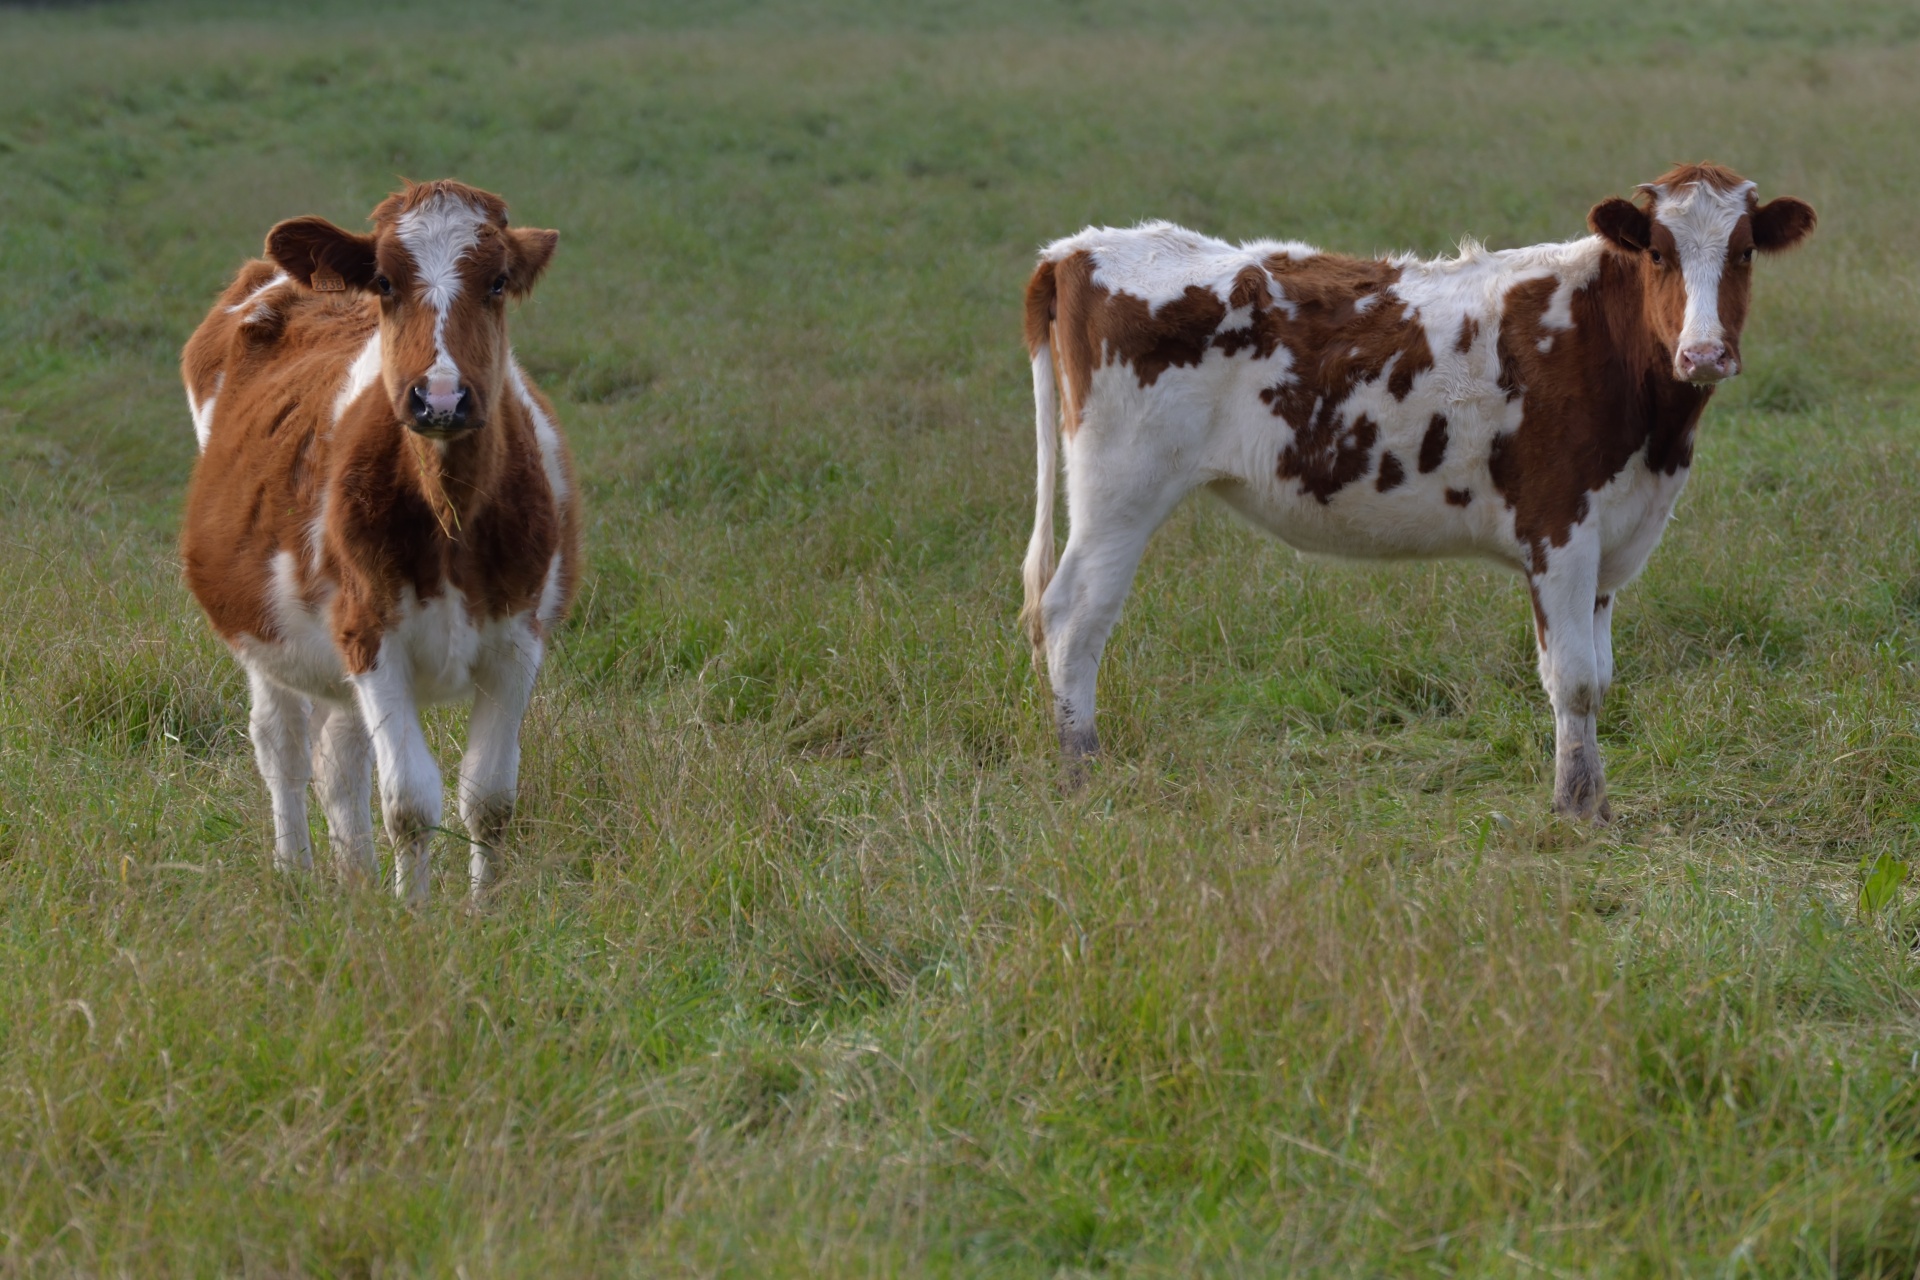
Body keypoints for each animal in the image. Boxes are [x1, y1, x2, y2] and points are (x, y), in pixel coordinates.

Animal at [183, 180, 579, 905]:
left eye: (498, 282)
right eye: (387, 283)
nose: (441, 398)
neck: (450, 516)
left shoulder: (518, 639)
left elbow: (489, 799)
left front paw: (484, 912)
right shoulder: (371, 636)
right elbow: (410, 801)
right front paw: (414, 913)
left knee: (339, 760)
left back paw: (358, 880)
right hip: (268, 631)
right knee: (281, 747)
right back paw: (296, 872)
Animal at [1021, 163, 1812, 821]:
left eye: (1743, 252)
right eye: (1658, 254)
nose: (1703, 353)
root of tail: (1077, 250)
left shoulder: (1613, 539)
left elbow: (1602, 675)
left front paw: (1595, 800)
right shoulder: (1558, 529)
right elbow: (1574, 679)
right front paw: (1576, 807)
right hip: (1119, 489)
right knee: (1073, 617)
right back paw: (1081, 771)